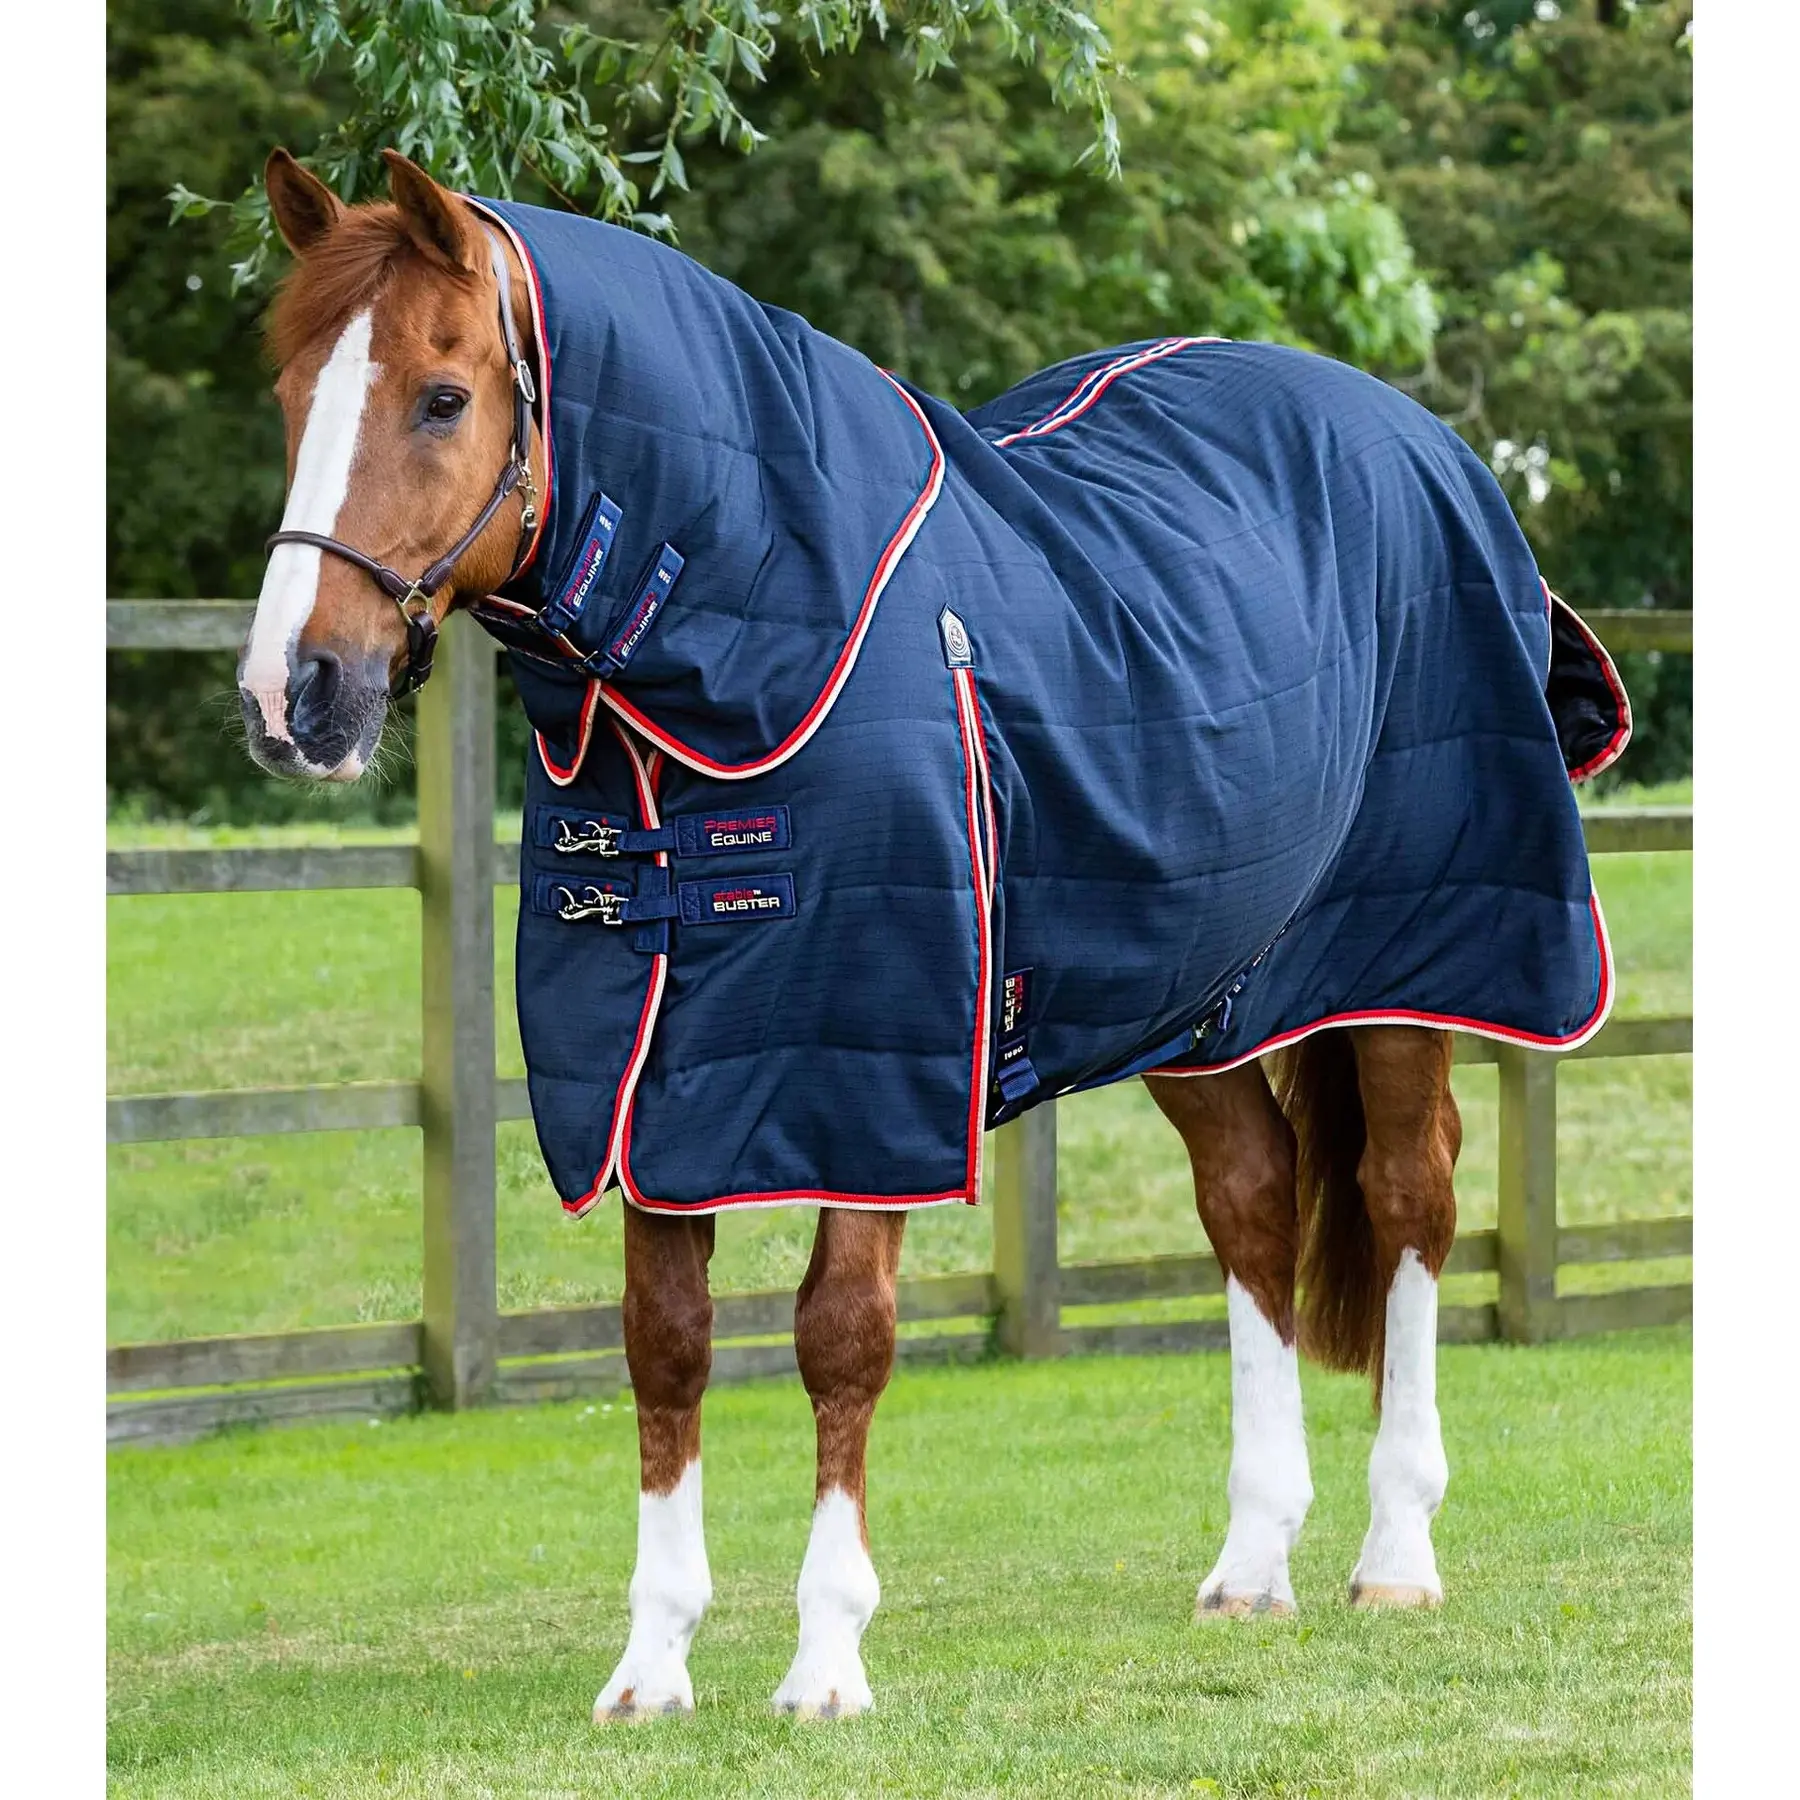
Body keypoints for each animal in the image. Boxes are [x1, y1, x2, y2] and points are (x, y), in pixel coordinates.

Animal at [238, 148, 1627, 1721]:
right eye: (291, 392)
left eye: (440, 397)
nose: (294, 694)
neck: (762, 630)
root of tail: (1427, 444)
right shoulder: (655, 1074)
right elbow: (667, 1346)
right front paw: (651, 1667)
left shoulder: (871, 1070)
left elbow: (841, 1335)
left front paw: (827, 1660)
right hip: (1193, 991)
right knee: (1256, 1202)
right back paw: (1253, 1562)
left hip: (1413, 963)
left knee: (1406, 1202)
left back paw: (1395, 1553)